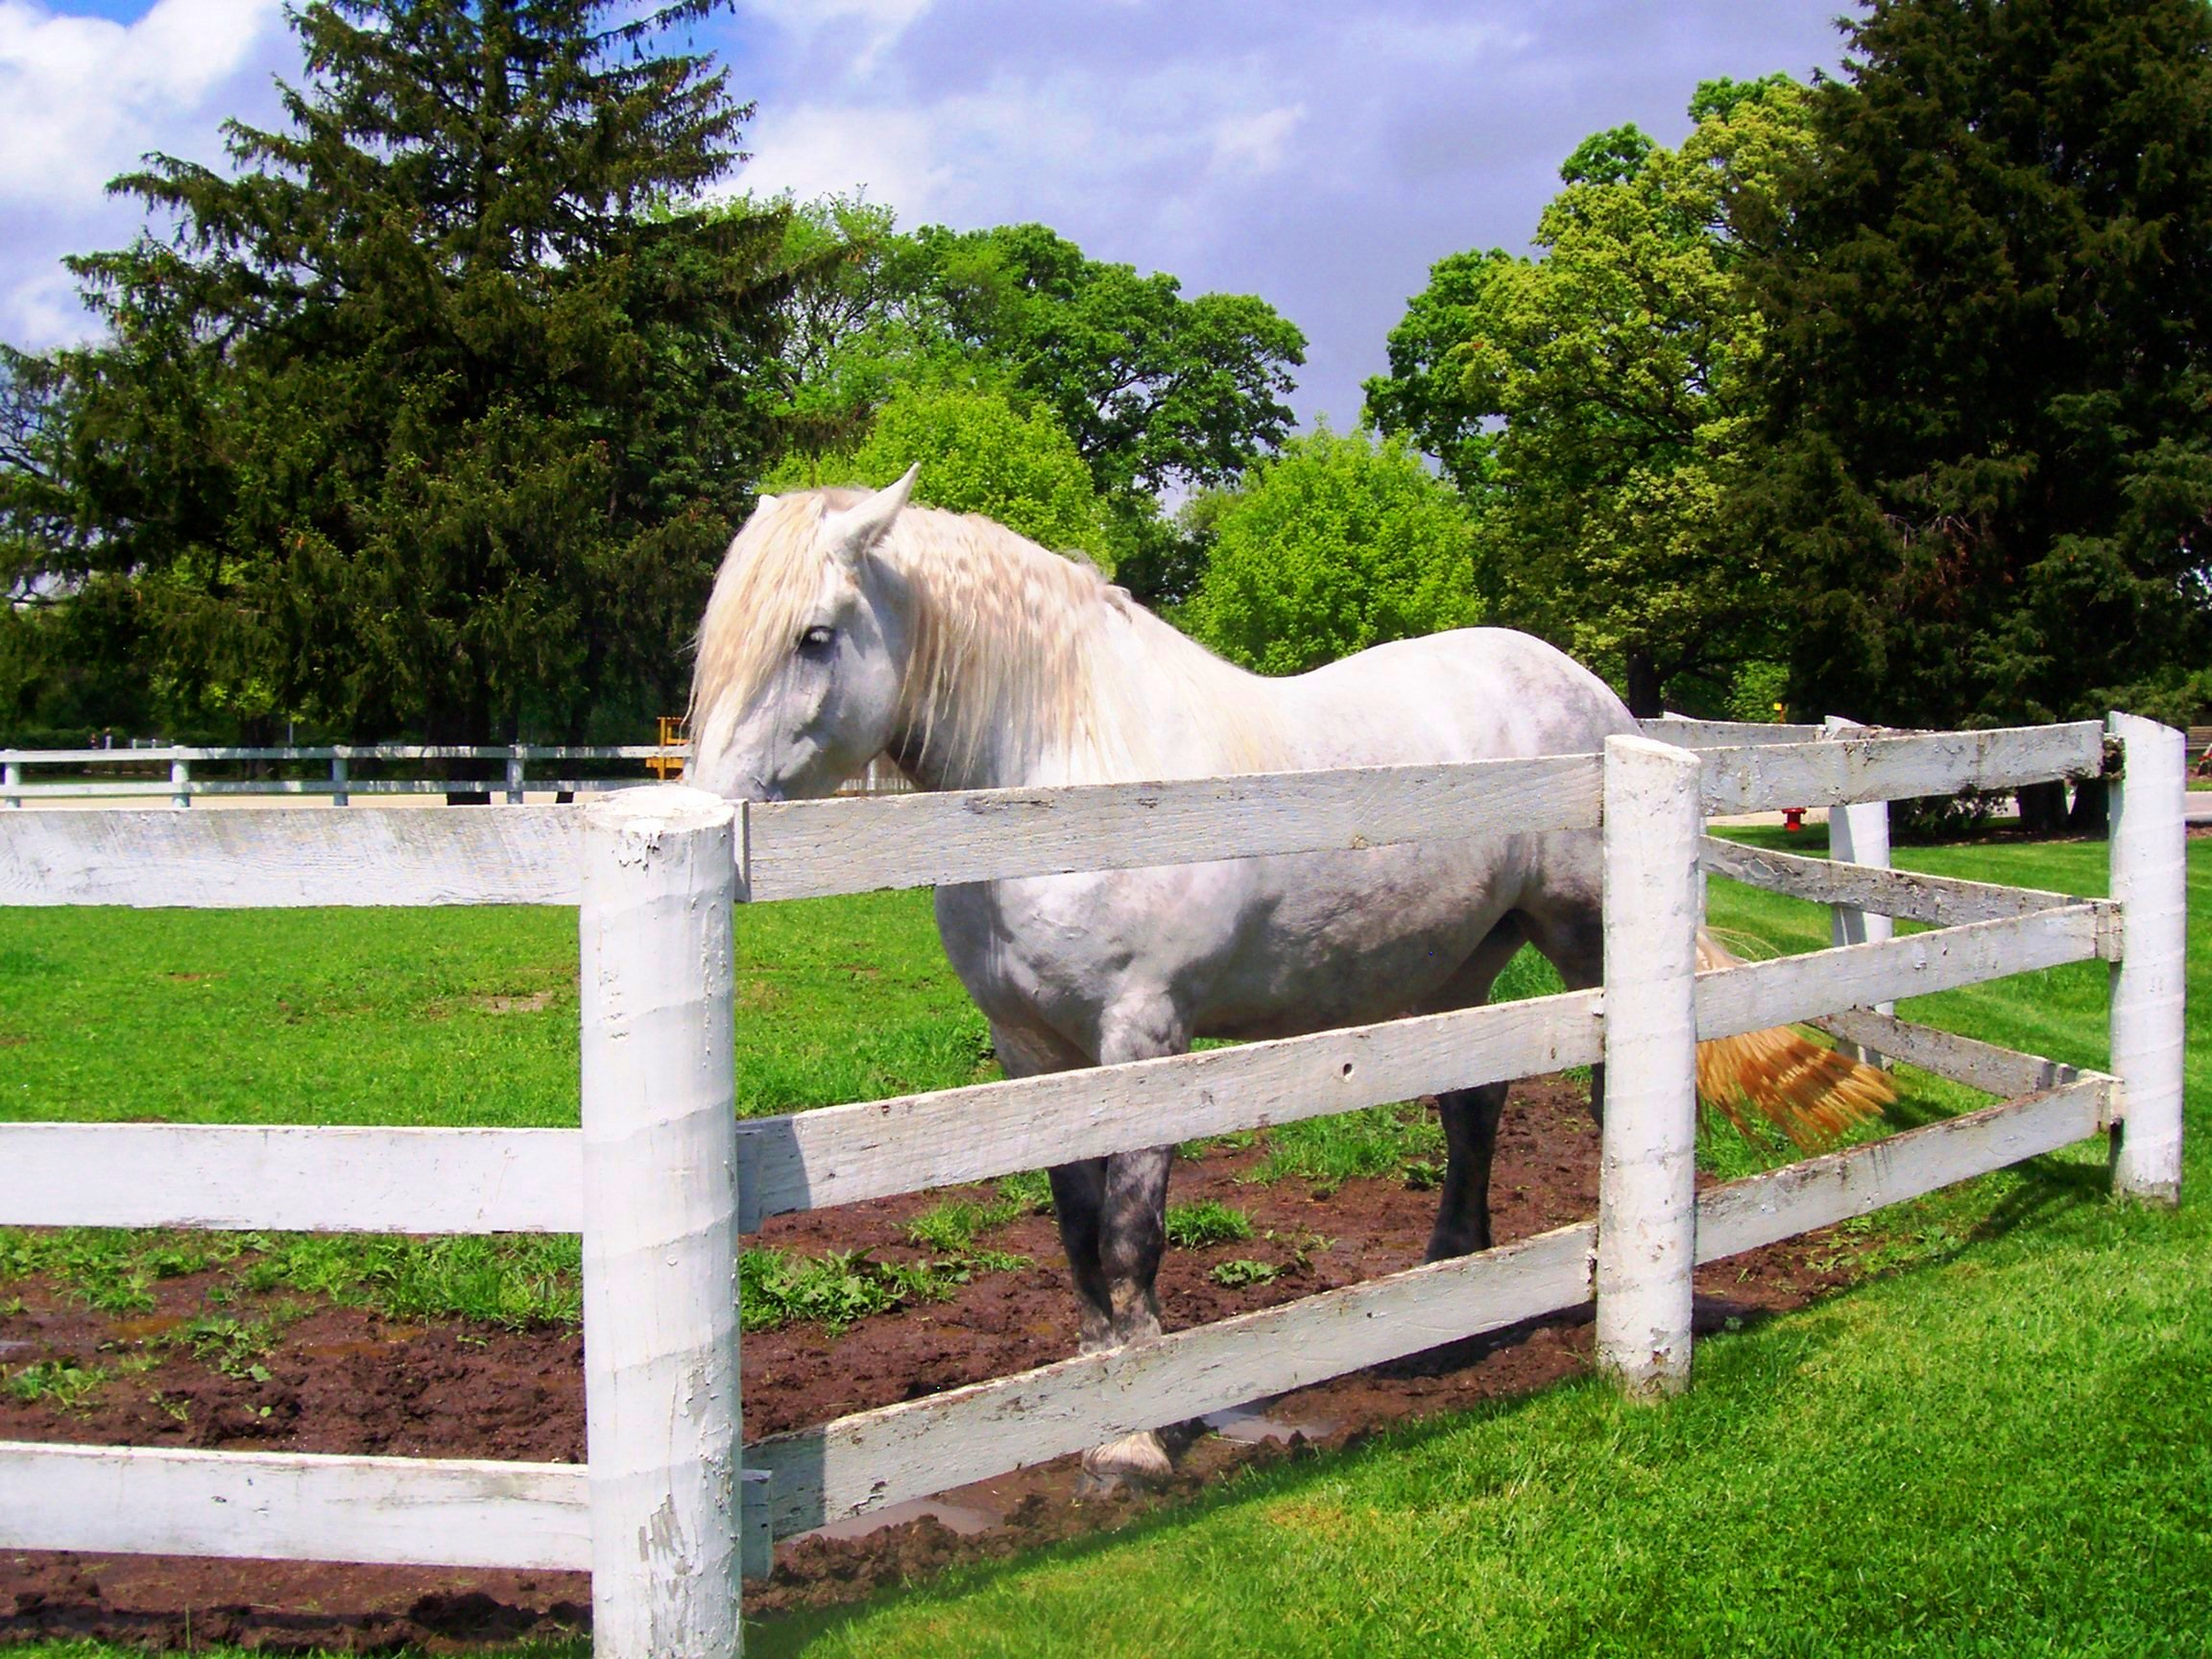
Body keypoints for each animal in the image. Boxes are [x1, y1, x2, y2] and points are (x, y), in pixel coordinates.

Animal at [685, 473, 1885, 1486]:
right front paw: (1087, 1401)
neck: (1072, 777)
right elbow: (1076, 1229)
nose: (707, 808)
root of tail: (1601, 703)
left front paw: (1136, 1431)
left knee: (1608, 1088)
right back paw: (1447, 1305)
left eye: (814, 636)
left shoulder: (1144, 1038)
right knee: (1473, 1107)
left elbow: (1130, 1232)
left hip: (1586, 938)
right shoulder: (1036, 1054)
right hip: (1457, 968)